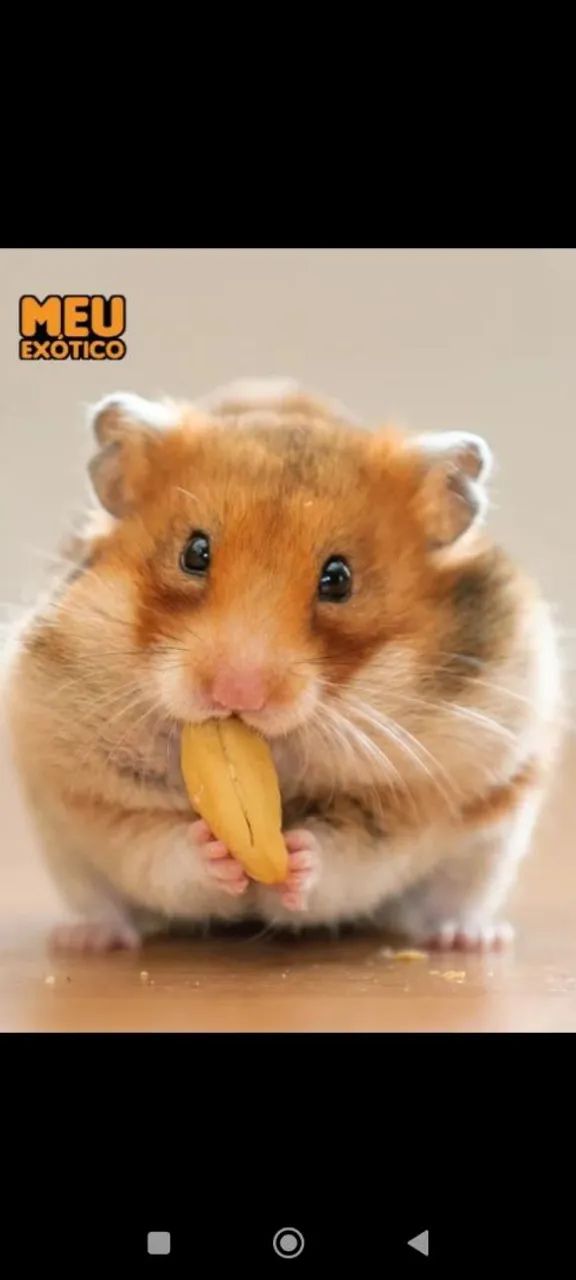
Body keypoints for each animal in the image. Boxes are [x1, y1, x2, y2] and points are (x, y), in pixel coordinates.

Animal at [3, 379, 561, 953]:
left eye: (339, 579)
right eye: (194, 553)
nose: (237, 695)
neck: (278, 750)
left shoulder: (417, 795)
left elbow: (350, 852)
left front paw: (296, 856)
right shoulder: (89, 789)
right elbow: (157, 846)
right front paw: (213, 850)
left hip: (490, 843)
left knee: (449, 902)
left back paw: (470, 939)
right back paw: (87, 939)